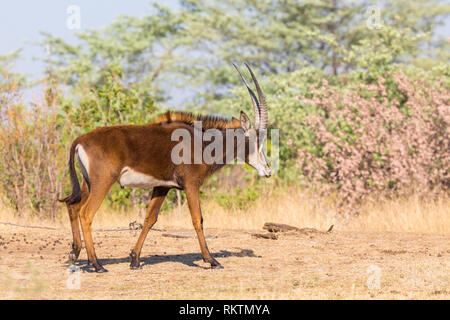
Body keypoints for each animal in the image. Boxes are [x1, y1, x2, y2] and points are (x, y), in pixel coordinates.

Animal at [59, 62, 270, 272]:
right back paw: (96, 264)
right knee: (86, 214)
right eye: (257, 140)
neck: (201, 142)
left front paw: (135, 259)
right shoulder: (191, 185)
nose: (267, 170)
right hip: (103, 182)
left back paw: (75, 254)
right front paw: (211, 260)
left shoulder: (162, 186)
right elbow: (198, 219)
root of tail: (80, 140)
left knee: (73, 207)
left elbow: (149, 219)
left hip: (88, 183)